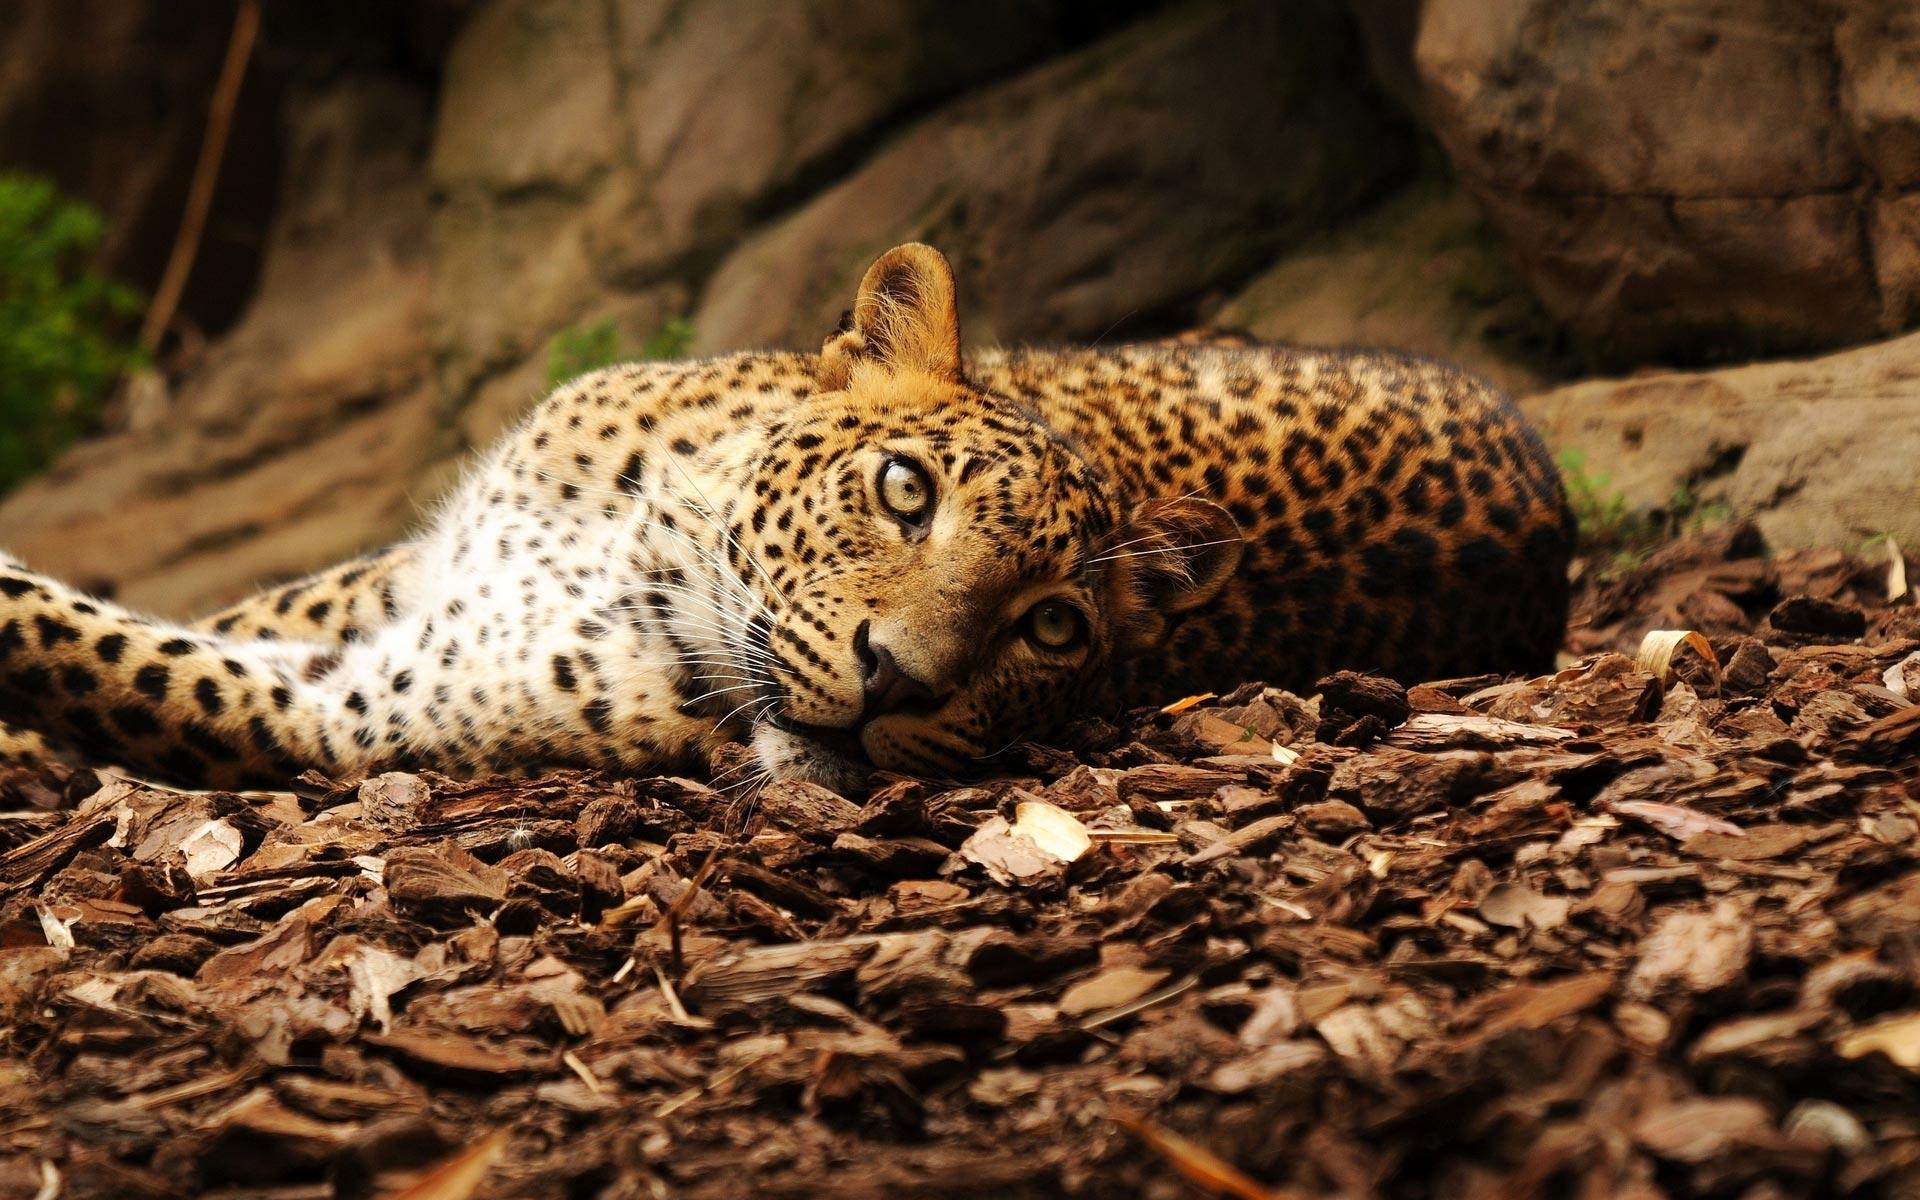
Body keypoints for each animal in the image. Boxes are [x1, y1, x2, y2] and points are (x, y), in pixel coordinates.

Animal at [0, 243, 1572, 795]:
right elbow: (223, 608)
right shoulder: (408, 576)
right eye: (905, 491)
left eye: (1053, 629)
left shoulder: (348, 713)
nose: (900, 687)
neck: (641, 545)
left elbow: (84, 647)